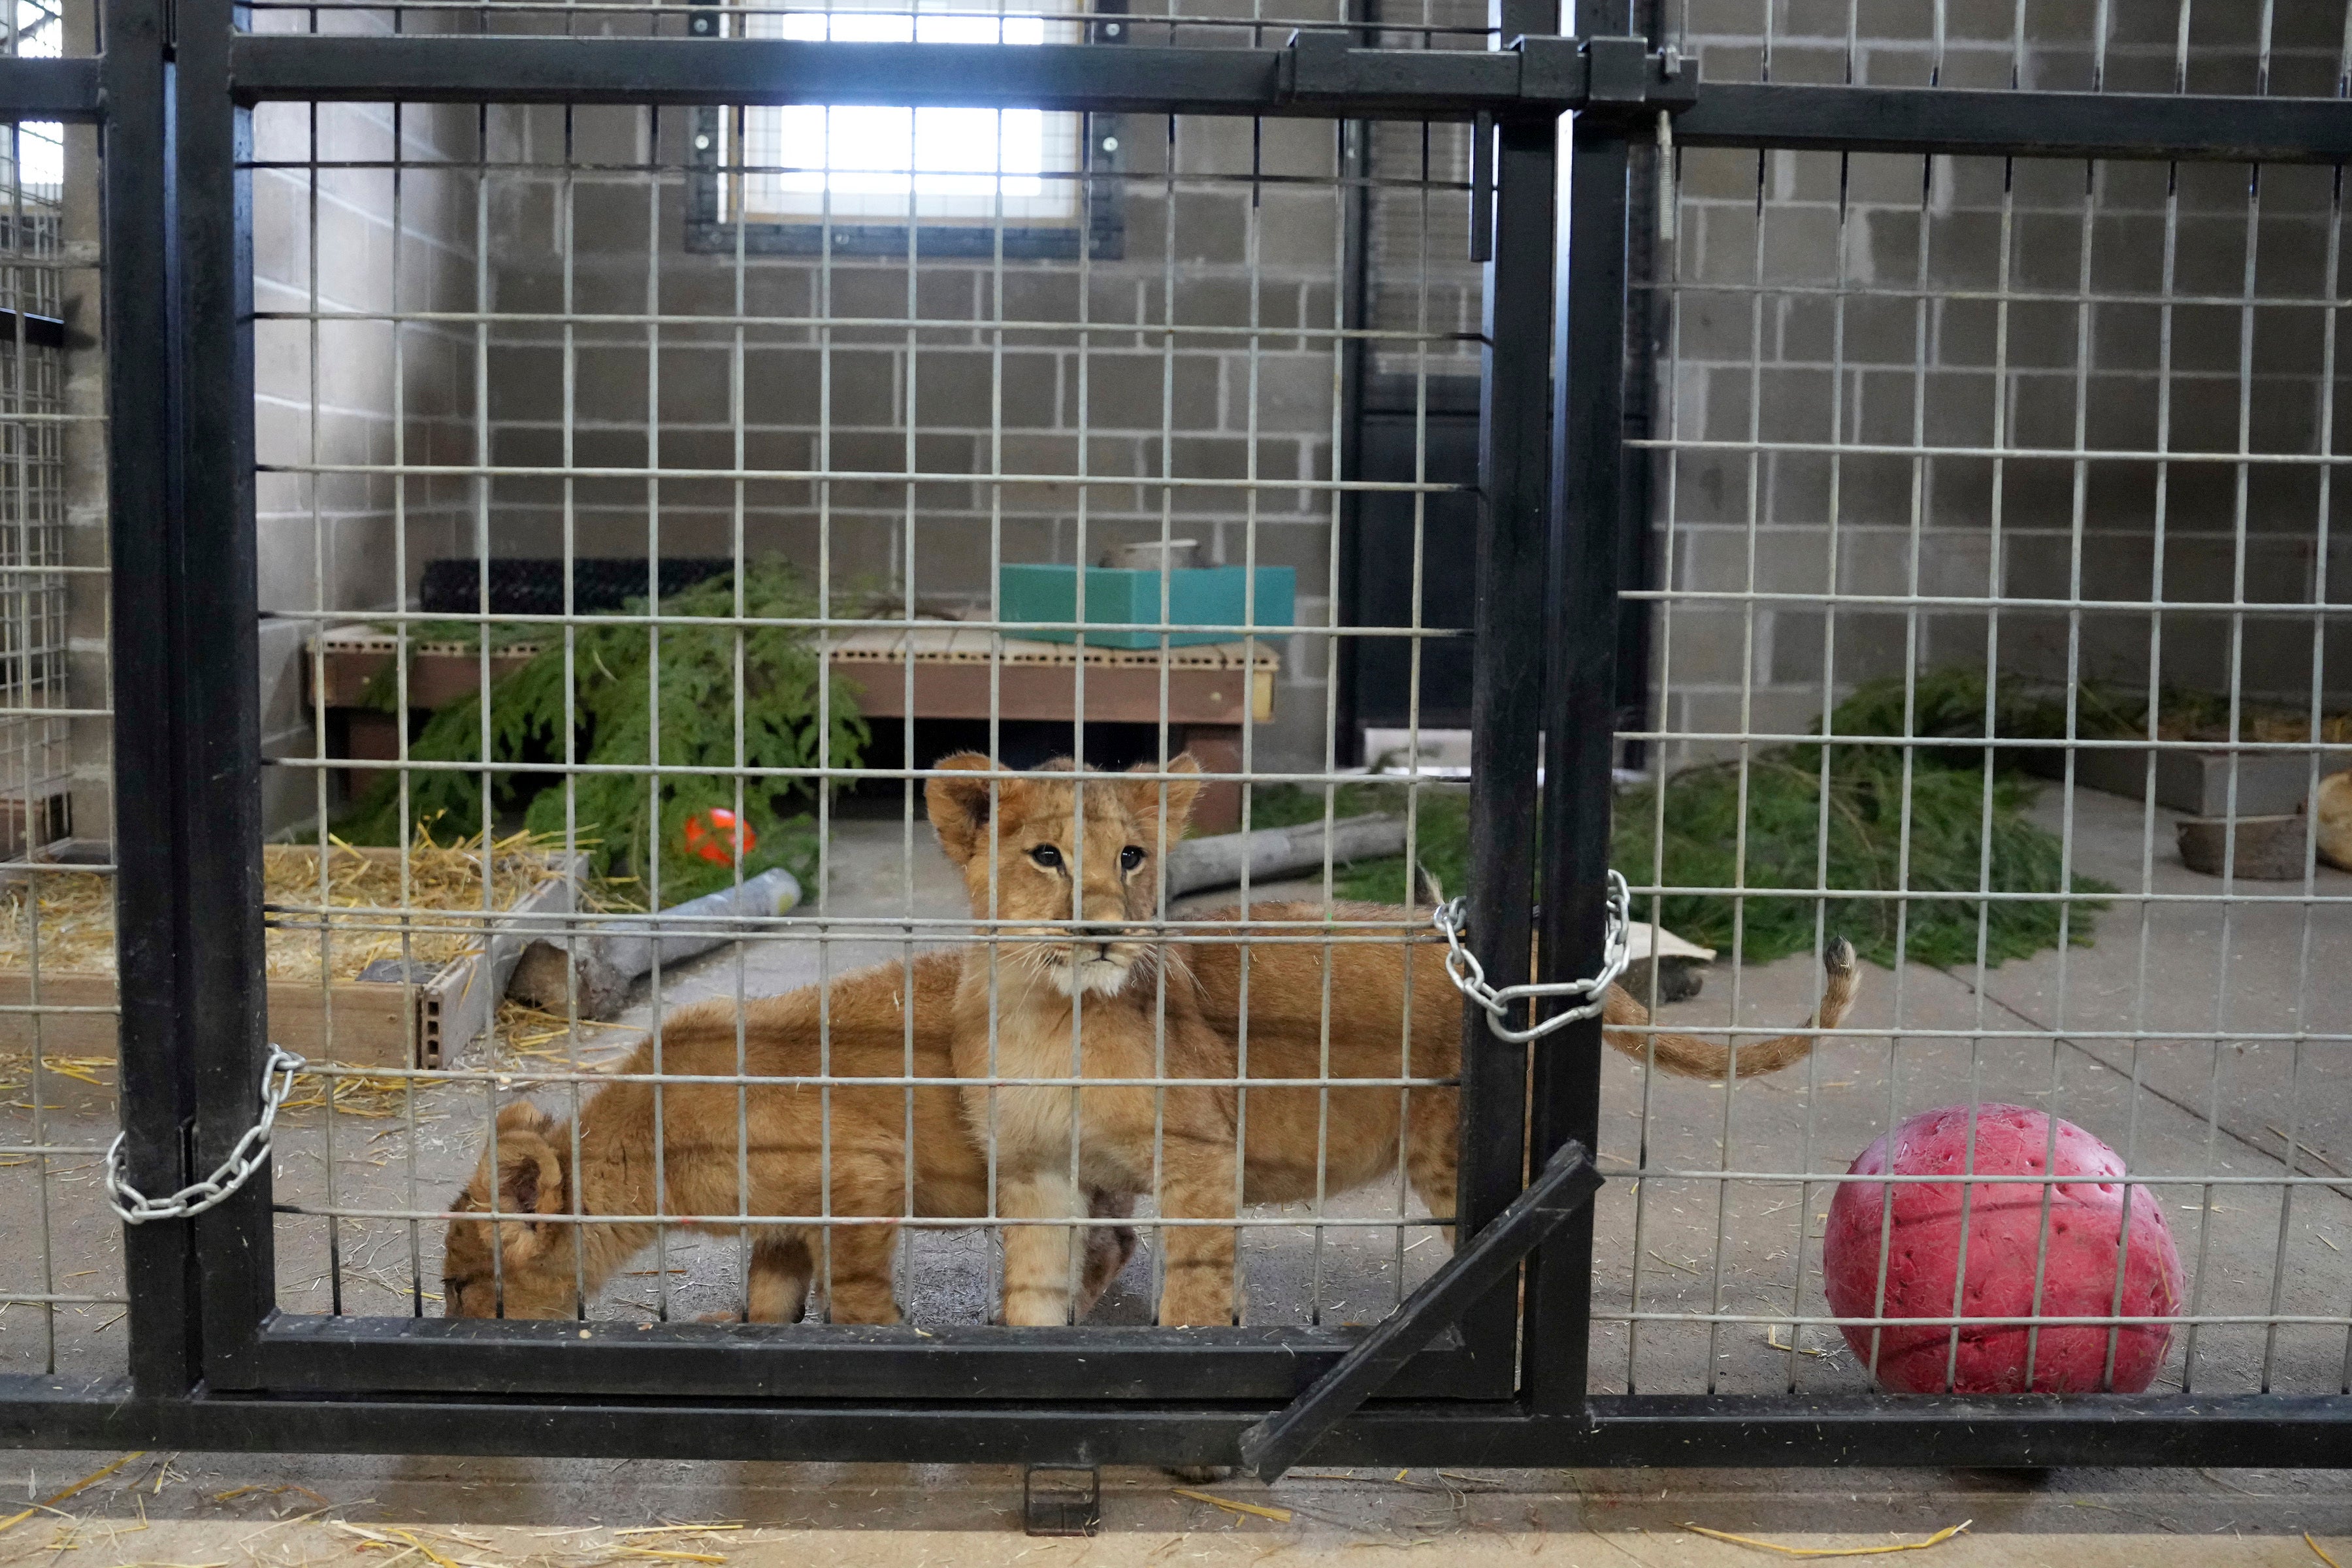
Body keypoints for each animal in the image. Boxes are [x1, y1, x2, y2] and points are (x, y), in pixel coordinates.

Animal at [441, 950, 1138, 1323]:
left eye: (457, 1287)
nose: (449, 1326)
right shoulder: (786, 1217)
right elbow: (770, 1293)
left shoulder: (864, 1175)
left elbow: (855, 1295)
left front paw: (886, 1331)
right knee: (1116, 1243)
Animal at [923, 752, 1859, 1330]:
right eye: (1046, 856)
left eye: (1130, 857)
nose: (1104, 932)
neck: (1052, 1012)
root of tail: (1518, 961)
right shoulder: (1035, 1169)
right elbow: (1036, 1288)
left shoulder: (1201, 1154)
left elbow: (1194, 1282)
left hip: (1465, 1159)